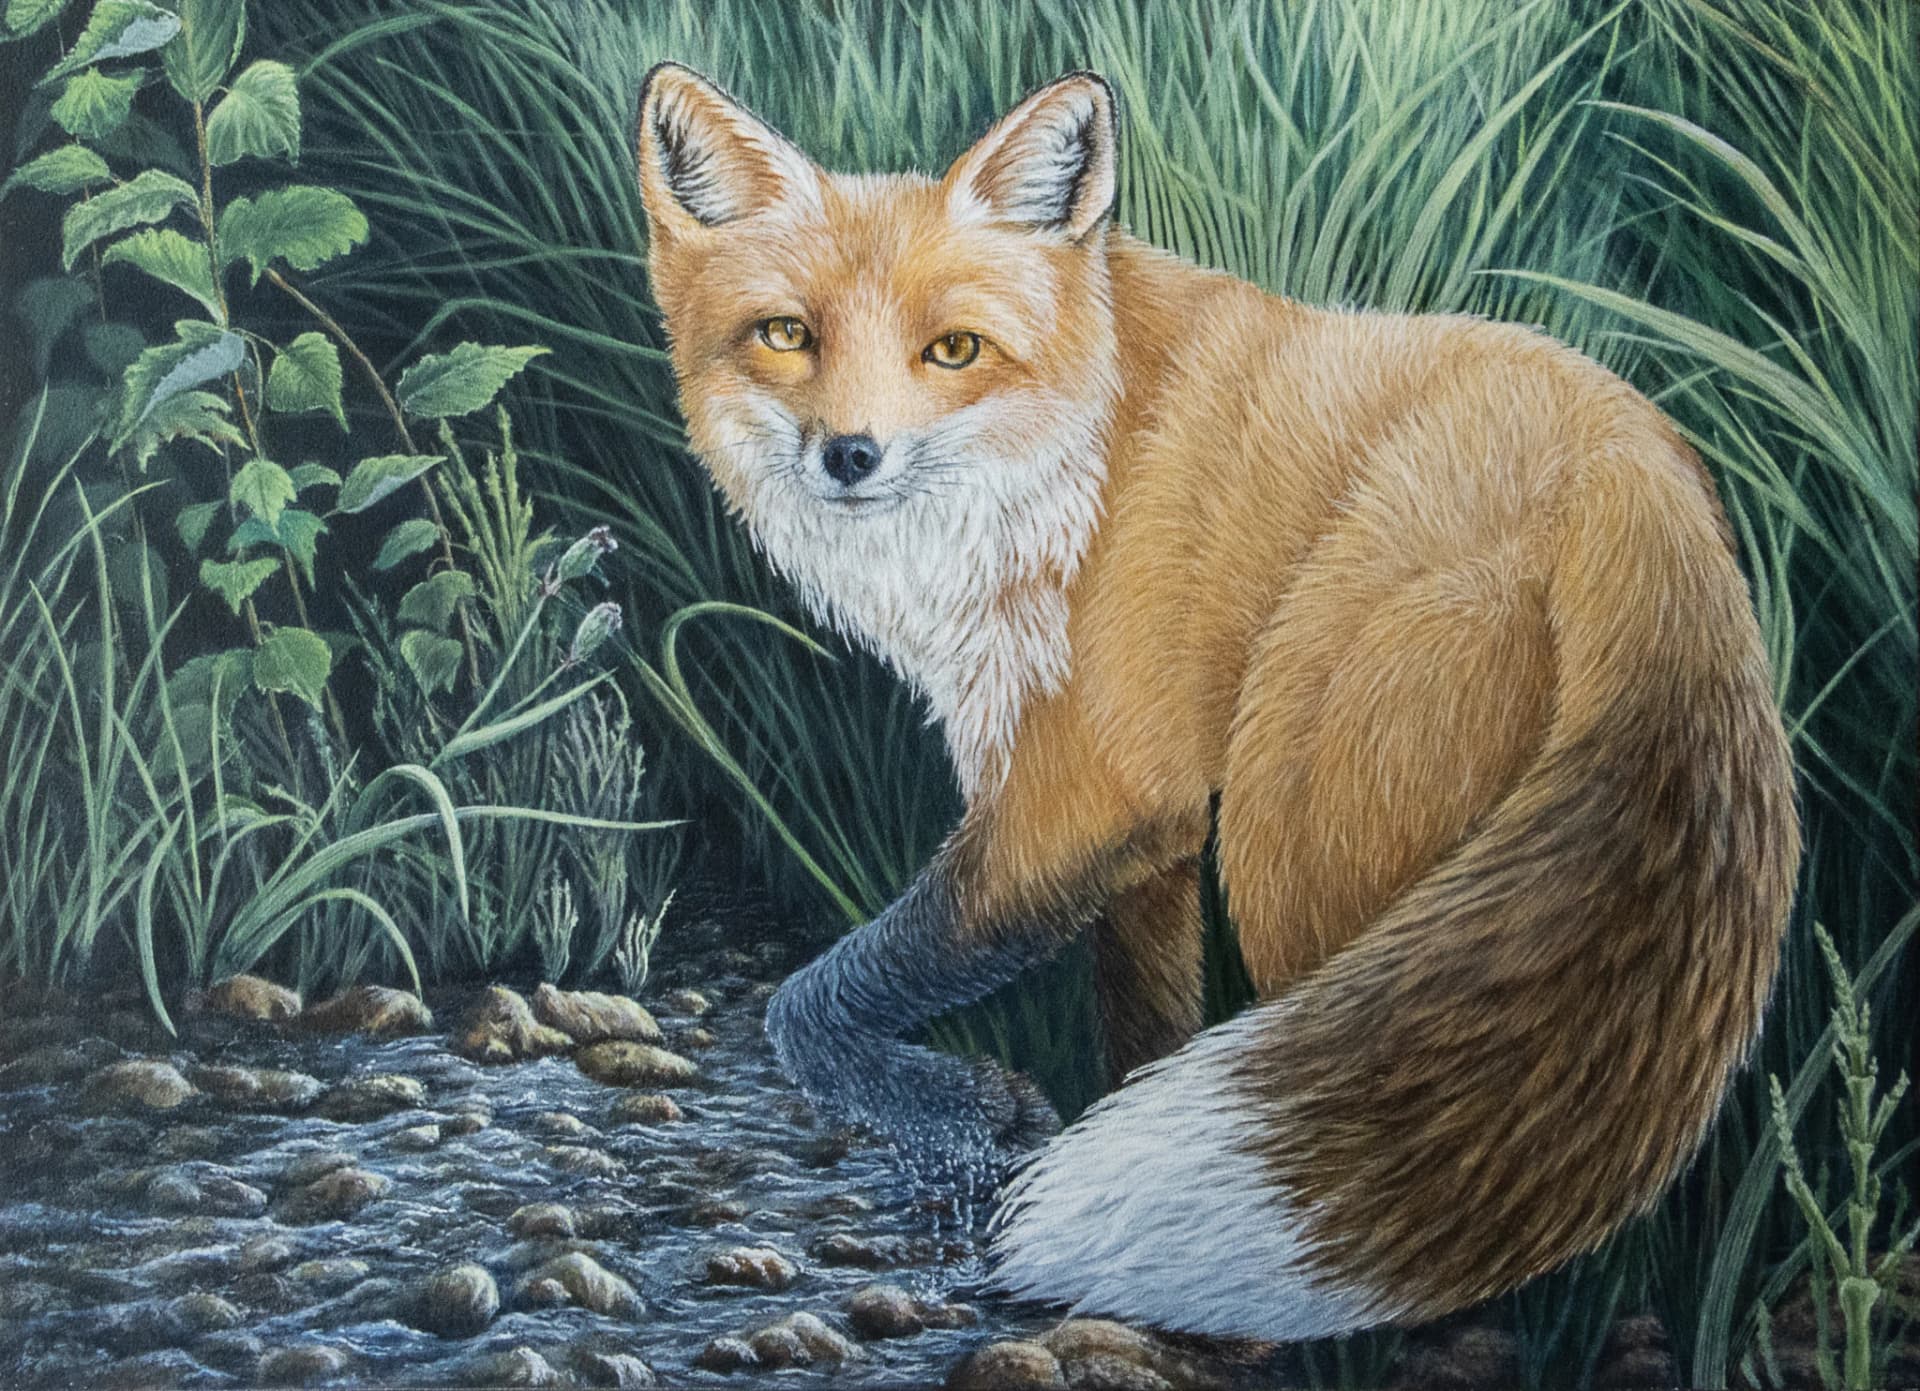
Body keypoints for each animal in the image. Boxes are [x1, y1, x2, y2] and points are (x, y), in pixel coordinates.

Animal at [633, 62, 1800, 1341]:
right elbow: (1148, 1032)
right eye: (787, 335)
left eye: (954, 349)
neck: (1076, 466)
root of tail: (1636, 478)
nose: (851, 453)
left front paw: (969, 1119)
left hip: (1298, 841)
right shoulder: (1149, 832)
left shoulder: (1080, 796)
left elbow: (814, 1000)